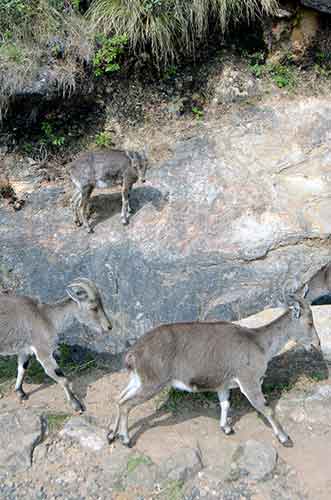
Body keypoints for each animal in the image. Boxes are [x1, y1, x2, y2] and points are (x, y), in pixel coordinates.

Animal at [109, 292, 322, 448]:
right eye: (310, 323)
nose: (317, 344)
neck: (259, 343)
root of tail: (133, 353)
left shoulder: (223, 384)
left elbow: (225, 404)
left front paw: (226, 428)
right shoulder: (249, 381)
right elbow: (266, 408)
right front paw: (285, 438)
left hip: (139, 379)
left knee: (119, 397)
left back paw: (111, 433)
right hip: (153, 382)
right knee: (126, 404)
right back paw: (126, 439)